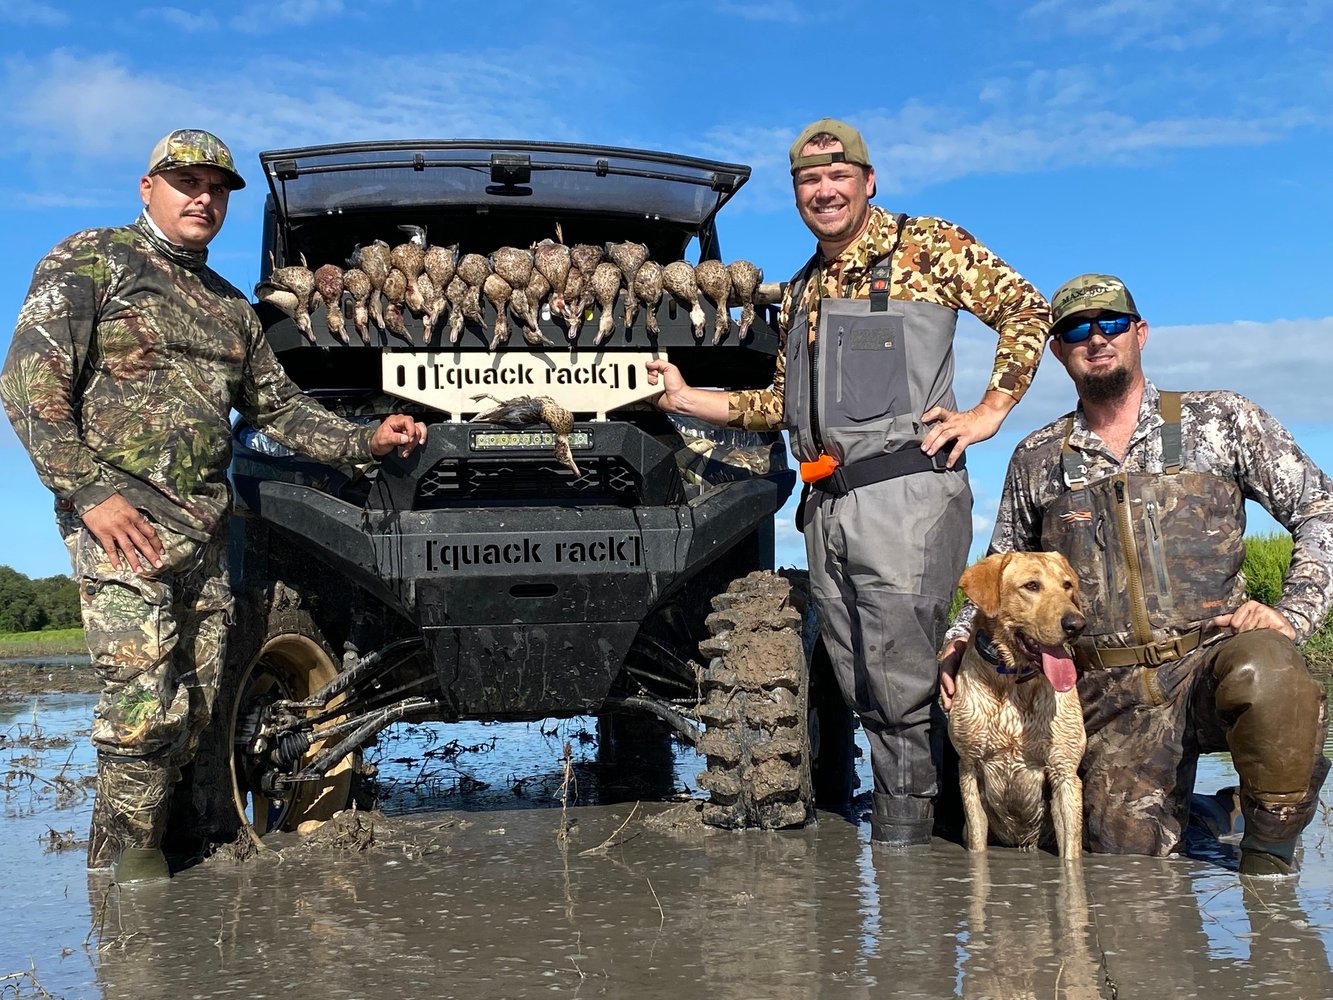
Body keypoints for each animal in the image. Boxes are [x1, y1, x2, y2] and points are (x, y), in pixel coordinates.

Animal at [943, 552, 1087, 858]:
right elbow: (977, 845)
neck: (1013, 682)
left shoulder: (1065, 773)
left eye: (1067, 585)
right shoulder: (970, 768)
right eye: (1031, 586)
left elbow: (1071, 854)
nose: (1077, 624)